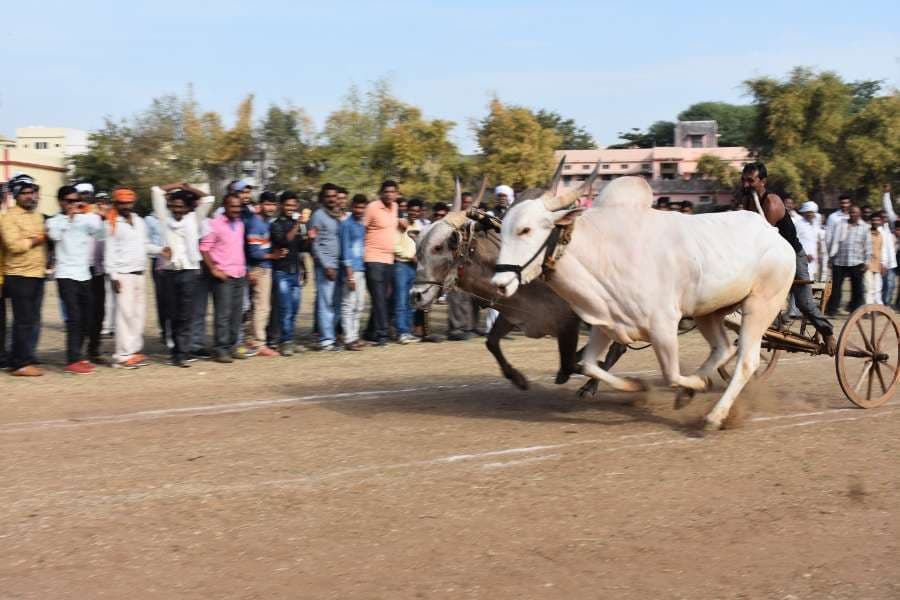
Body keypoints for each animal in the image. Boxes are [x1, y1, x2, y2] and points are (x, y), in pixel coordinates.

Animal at [492, 176, 796, 428]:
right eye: (504, 227)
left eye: (525, 230)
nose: (498, 284)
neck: (604, 251)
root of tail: (774, 234)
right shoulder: (606, 321)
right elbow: (590, 364)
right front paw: (638, 387)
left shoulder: (663, 326)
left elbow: (670, 374)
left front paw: (694, 385)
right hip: (708, 312)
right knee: (723, 349)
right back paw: (690, 394)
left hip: (760, 305)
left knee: (746, 360)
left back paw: (714, 415)